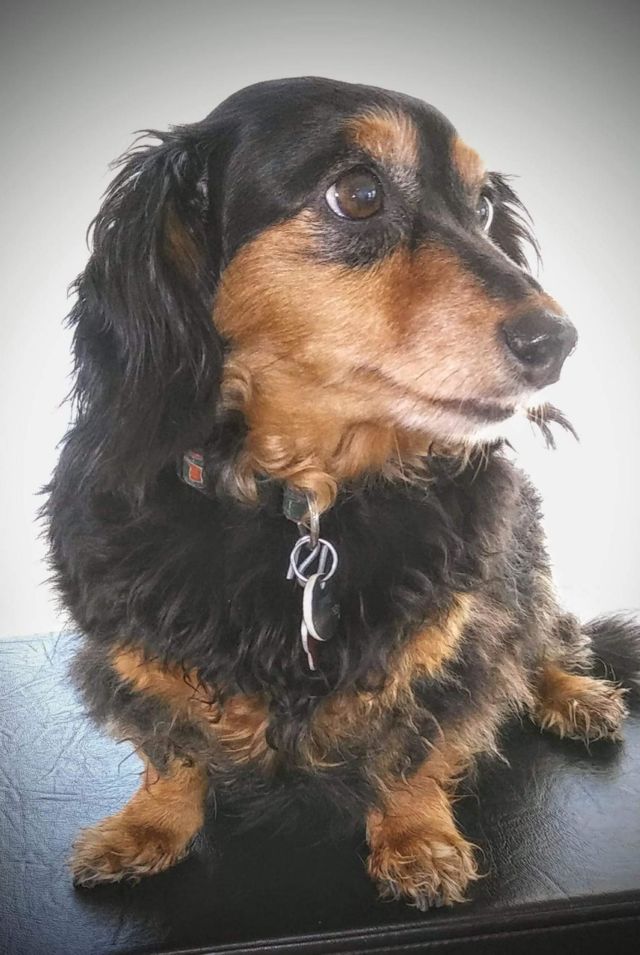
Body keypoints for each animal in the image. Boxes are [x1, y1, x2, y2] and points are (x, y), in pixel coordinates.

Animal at [45, 76, 640, 909]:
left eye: (483, 203)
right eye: (357, 194)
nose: (557, 341)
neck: (301, 505)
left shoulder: (452, 639)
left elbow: (415, 744)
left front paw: (416, 836)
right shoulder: (135, 643)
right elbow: (170, 746)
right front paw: (149, 824)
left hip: (522, 556)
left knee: (542, 639)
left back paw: (573, 694)